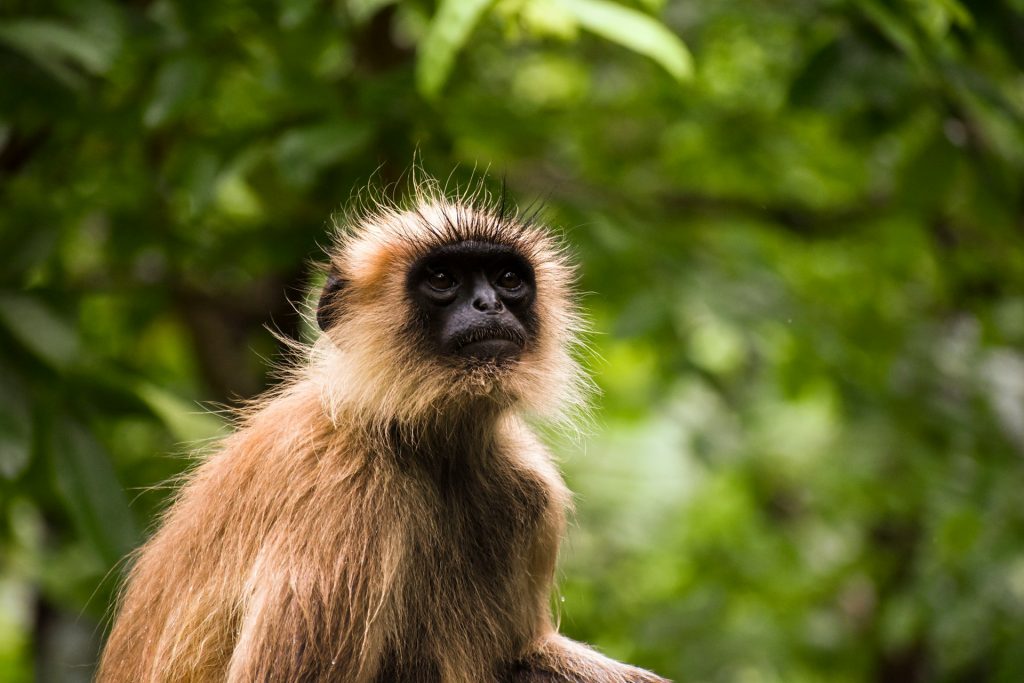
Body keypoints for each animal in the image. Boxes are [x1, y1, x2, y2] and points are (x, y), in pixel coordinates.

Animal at [99, 181, 667, 683]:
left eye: (508, 279)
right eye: (443, 279)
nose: (489, 305)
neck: (422, 444)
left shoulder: (529, 490)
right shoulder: (342, 485)